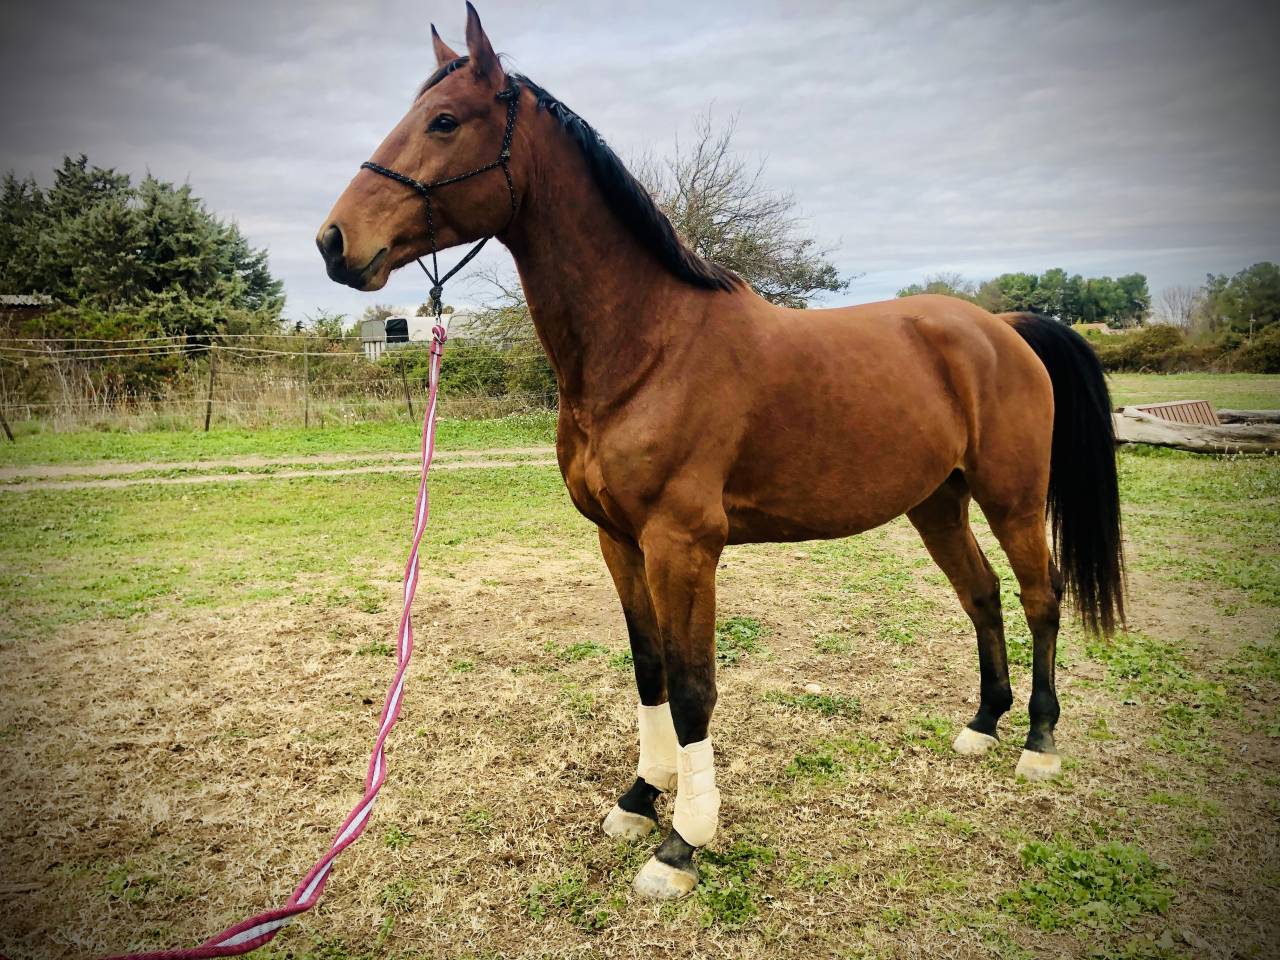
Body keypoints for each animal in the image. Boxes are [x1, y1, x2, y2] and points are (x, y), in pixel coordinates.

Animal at [318, 3, 1125, 900]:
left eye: (445, 120)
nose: (334, 241)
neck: (649, 346)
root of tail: (1002, 327)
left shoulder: (684, 547)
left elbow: (694, 687)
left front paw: (682, 842)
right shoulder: (619, 542)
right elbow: (650, 671)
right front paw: (640, 798)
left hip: (1010, 497)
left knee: (1040, 597)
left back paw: (1039, 744)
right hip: (936, 502)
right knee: (981, 595)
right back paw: (984, 723)